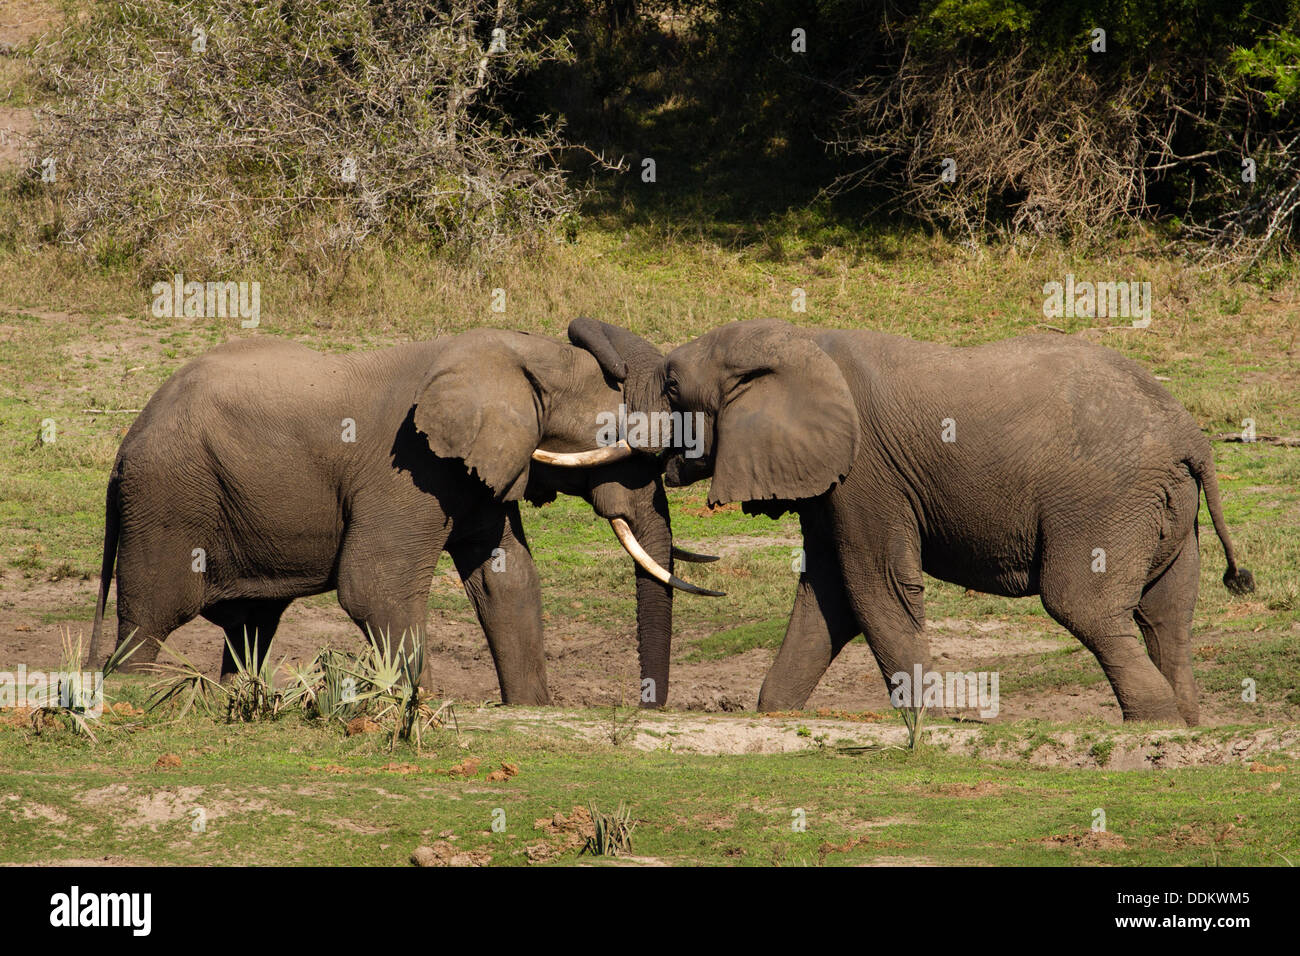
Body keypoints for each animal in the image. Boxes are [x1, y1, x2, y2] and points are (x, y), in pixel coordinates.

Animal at [89, 325, 722, 707]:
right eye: (619, 442)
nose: (645, 707)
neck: (518, 353)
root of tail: (128, 438)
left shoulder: (475, 473)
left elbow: (508, 580)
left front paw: (530, 710)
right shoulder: (409, 465)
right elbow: (375, 586)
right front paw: (420, 706)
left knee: (251, 625)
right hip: (167, 499)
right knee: (151, 618)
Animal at [579, 317, 1258, 728]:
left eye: (672, 385)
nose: (652, 710)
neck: (801, 341)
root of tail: (1191, 435)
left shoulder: (866, 473)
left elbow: (875, 587)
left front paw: (930, 722)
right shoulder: (832, 484)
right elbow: (829, 596)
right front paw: (774, 716)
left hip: (1105, 502)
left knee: (1083, 606)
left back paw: (1152, 723)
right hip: (1166, 511)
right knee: (1166, 614)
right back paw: (1183, 725)